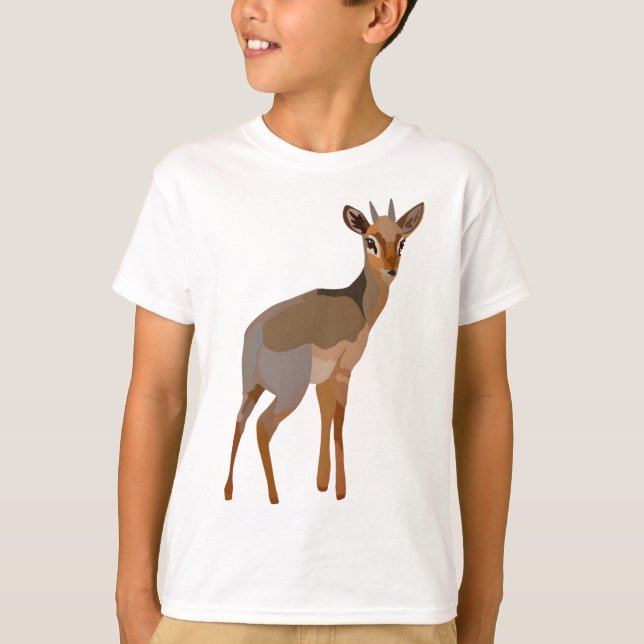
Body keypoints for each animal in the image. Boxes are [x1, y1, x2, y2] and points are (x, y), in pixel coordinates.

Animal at [224, 199, 424, 504]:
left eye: (402, 242)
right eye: (370, 240)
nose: (391, 271)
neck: (359, 304)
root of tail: (256, 335)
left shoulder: (323, 381)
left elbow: (325, 414)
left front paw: (321, 484)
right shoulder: (343, 372)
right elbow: (339, 420)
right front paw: (340, 490)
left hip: (252, 388)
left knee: (240, 421)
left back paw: (229, 491)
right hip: (290, 392)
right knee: (263, 425)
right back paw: (274, 496)